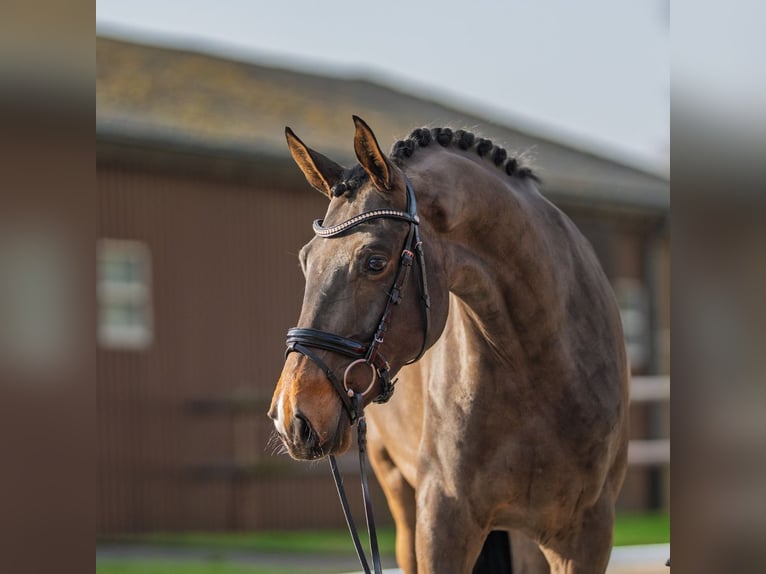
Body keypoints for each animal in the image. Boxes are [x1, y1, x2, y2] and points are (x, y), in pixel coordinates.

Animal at [268, 116, 629, 574]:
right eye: (305, 260)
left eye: (374, 261)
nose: (291, 416)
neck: (538, 367)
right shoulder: (442, 524)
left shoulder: (586, 536)